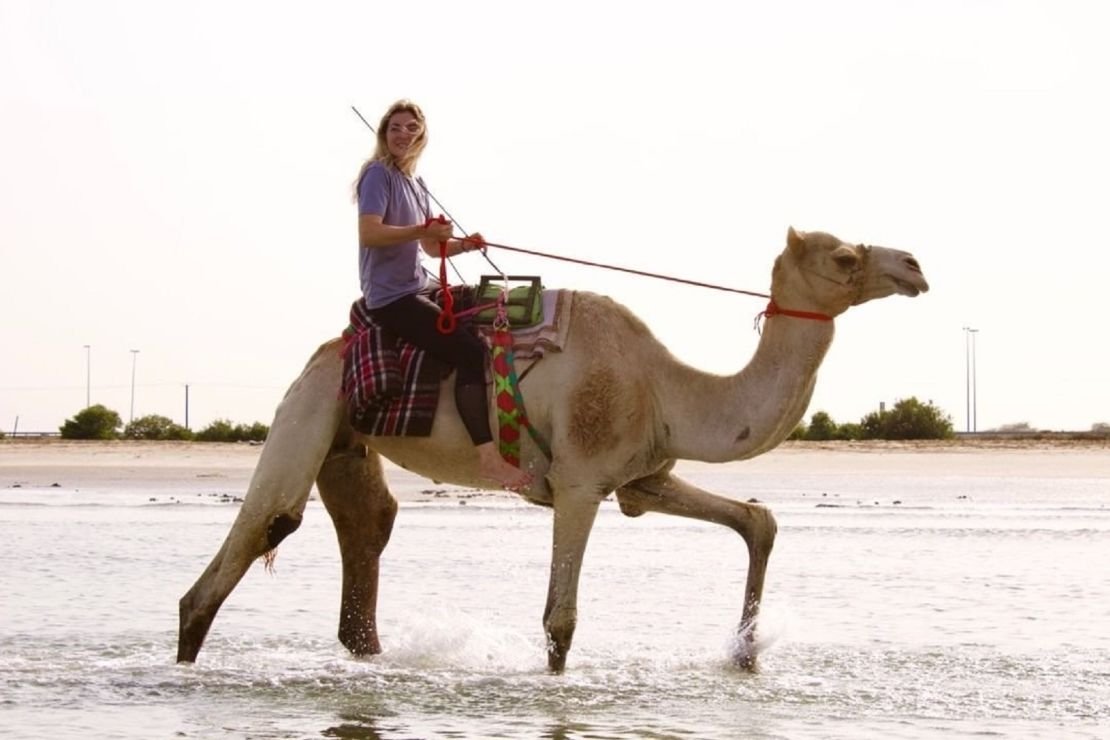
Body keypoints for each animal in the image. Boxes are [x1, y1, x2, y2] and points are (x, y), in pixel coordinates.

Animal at [177, 227, 928, 672]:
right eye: (845, 257)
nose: (916, 264)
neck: (666, 388)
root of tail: (324, 352)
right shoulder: (579, 482)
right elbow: (559, 621)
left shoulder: (643, 480)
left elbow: (757, 520)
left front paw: (745, 656)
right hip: (307, 414)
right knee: (254, 538)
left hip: (347, 443)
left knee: (366, 539)